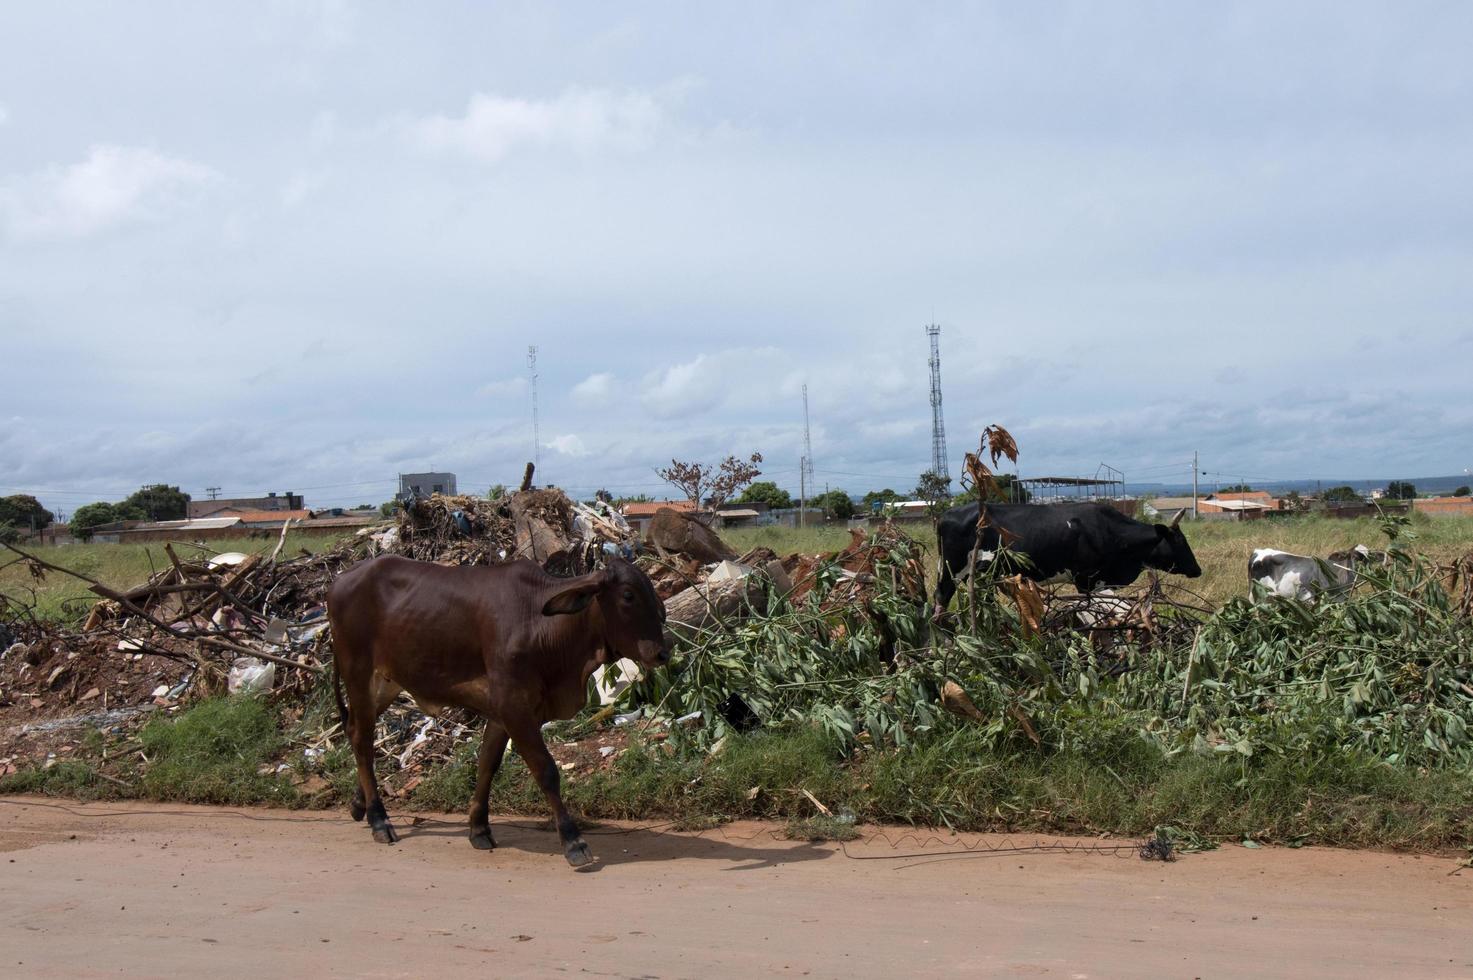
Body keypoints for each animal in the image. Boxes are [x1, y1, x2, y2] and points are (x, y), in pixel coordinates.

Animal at [329, 554, 674, 866]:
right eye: (628, 595)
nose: (662, 653)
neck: (542, 625)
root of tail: (342, 579)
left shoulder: (501, 713)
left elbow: (487, 766)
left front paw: (479, 829)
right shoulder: (514, 707)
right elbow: (546, 771)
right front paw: (573, 841)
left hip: (386, 683)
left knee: (355, 732)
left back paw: (359, 804)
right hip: (358, 674)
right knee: (362, 740)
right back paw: (378, 818)